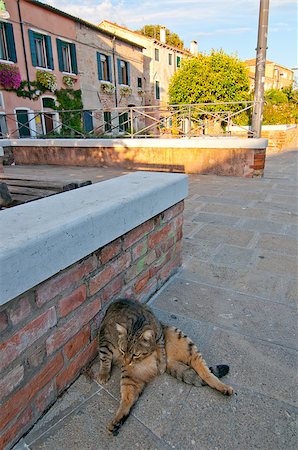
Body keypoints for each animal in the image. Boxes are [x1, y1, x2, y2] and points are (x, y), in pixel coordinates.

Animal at [91, 298, 233, 434]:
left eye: (135, 355)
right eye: (122, 350)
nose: (126, 361)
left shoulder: (157, 334)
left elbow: (160, 348)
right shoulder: (104, 340)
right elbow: (105, 358)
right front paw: (103, 373)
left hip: (183, 341)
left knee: (205, 371)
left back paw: (223, 387)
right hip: (129, 375)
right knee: (128, 399)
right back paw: (117, 421)